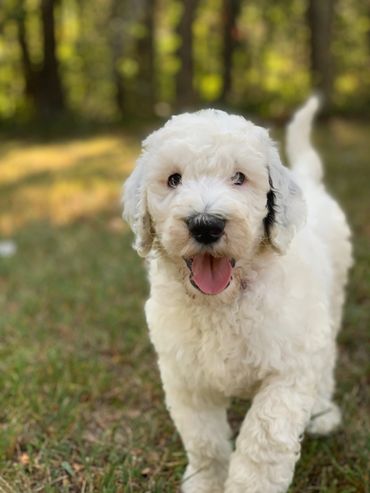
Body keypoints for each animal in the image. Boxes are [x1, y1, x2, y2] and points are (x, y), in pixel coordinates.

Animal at [122, 96, 352, 492]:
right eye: (173, 179)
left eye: (240, 177)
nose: (205, 224)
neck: (223, 302)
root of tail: (308, 181)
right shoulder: (187, 377)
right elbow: (205, 440)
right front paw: (206, 482)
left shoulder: (288, 371)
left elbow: (263, 439)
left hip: (330, 302)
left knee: (326, 361)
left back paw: (322, 412)